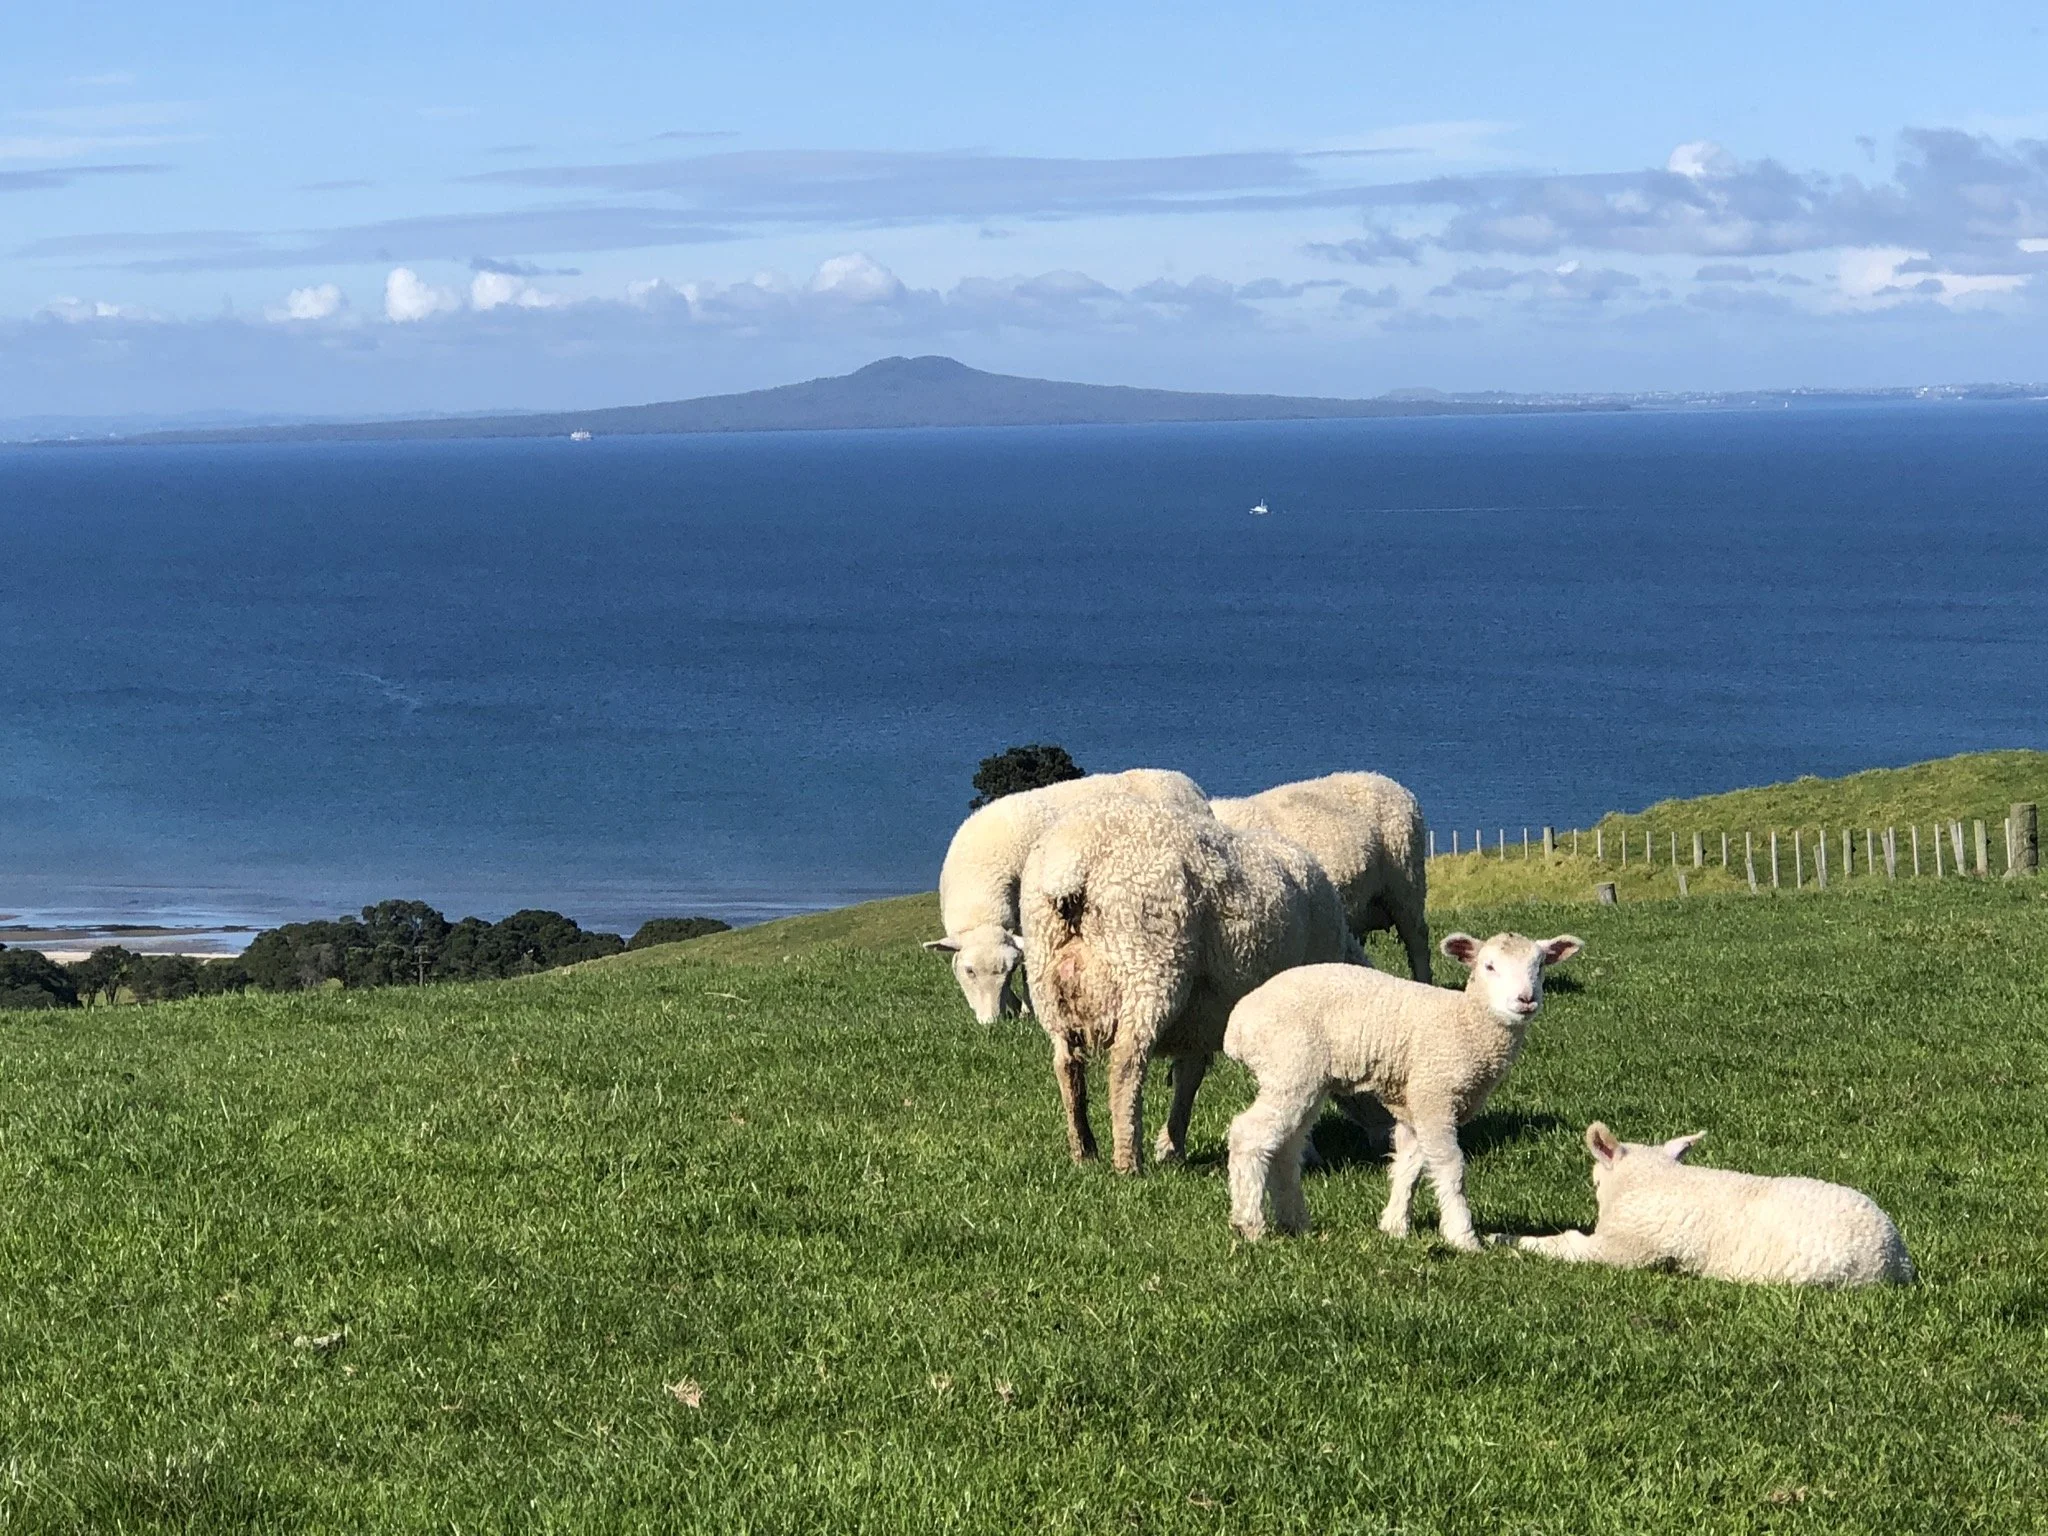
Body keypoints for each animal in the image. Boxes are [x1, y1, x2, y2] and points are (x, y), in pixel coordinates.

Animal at [1019, 796, 1365, 1173]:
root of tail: (1069, 865)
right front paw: (1306, 1153)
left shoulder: (1198, 1021)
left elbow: (1189, 1077)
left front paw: (1172, 1146)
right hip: (1149, 967)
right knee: (1126, 1062)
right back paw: (1128, 1161)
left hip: (1047, 981)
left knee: (1067, 1065)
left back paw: (1084, 1151)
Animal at [1223, 930, 1582, 1247]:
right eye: (1489, 966)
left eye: (1540, 966)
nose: (1526, 999)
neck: (1466, 1024)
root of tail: (1237, 1025)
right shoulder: (1435, 1096)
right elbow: (1451, 1167)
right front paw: (1463, 1236)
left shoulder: (1415, 1104)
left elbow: (1409, 1165)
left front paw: (1394, 1226)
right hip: (1290, 1066)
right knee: (1248, 1134)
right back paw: (1250, 1224)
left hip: (1302, 1079)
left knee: (1285, 1145)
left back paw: (1295, 1222)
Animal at [1511, 1123, 1915, 1286]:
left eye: (1595, 1182)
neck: (1655, 1179)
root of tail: (1896, 1259)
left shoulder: (1625, 1247)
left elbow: (1568, 1245)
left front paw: (1520, 1244)